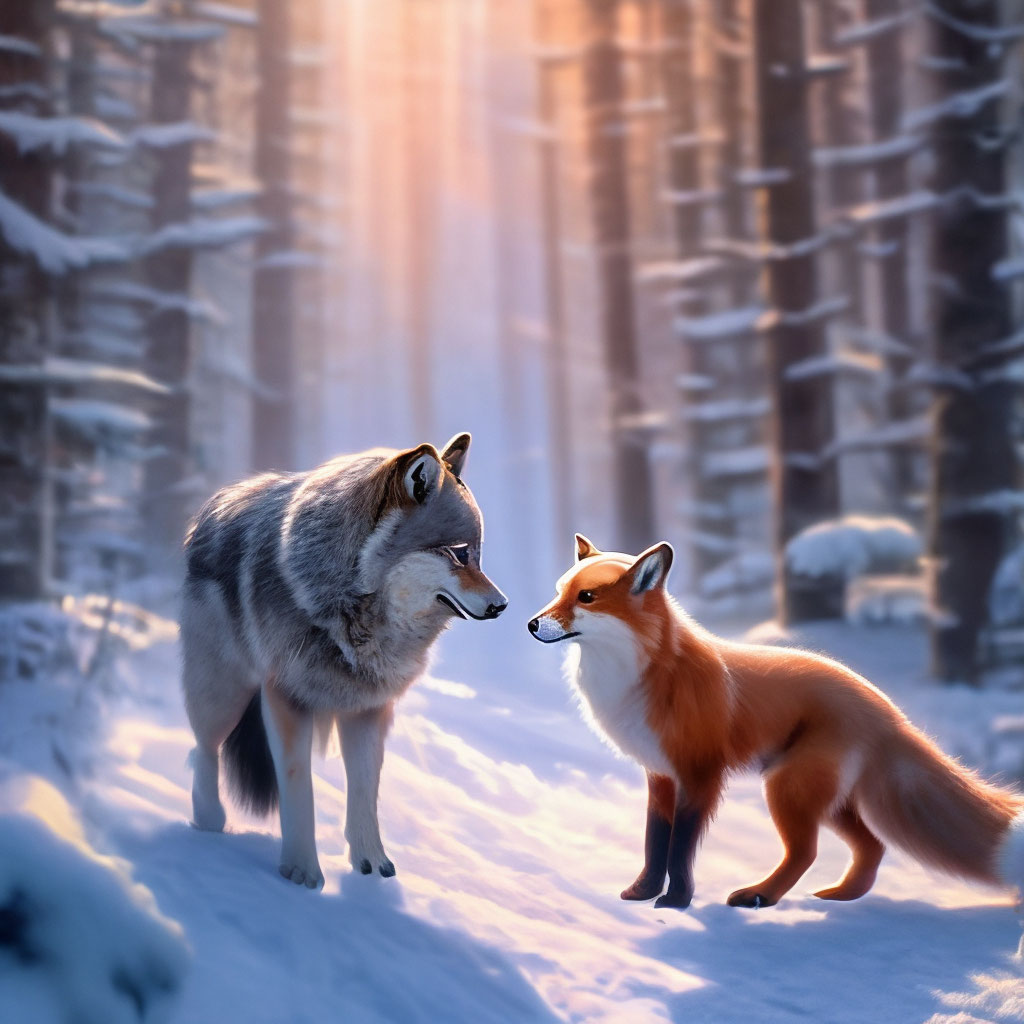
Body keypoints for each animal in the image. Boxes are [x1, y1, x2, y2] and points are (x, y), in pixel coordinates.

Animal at [181, 433, 506, 888]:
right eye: (459, 554)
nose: (503, 605)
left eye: (478, 555)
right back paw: (209, 821)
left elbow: (366, 790)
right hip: (223, 696)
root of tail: (212, 508)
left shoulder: (368, 708)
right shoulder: (288, 699)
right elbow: (299, 788)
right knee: (203, 749)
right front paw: (301, 871)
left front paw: (371, 863)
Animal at [528, 534, 1024, 911]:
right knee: (871, 846)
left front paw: (676, 901)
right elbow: (655, 841)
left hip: (788, 789)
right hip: (824, 799)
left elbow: (680, 847)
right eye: (557, 590)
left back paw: (760, 896)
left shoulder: (700, 774)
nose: (532, 624)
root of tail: (889, 710)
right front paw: (642, 892)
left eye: (586, 597)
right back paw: (843, 896)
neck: (643, 676)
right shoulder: (661, 775)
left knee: (807, 851)